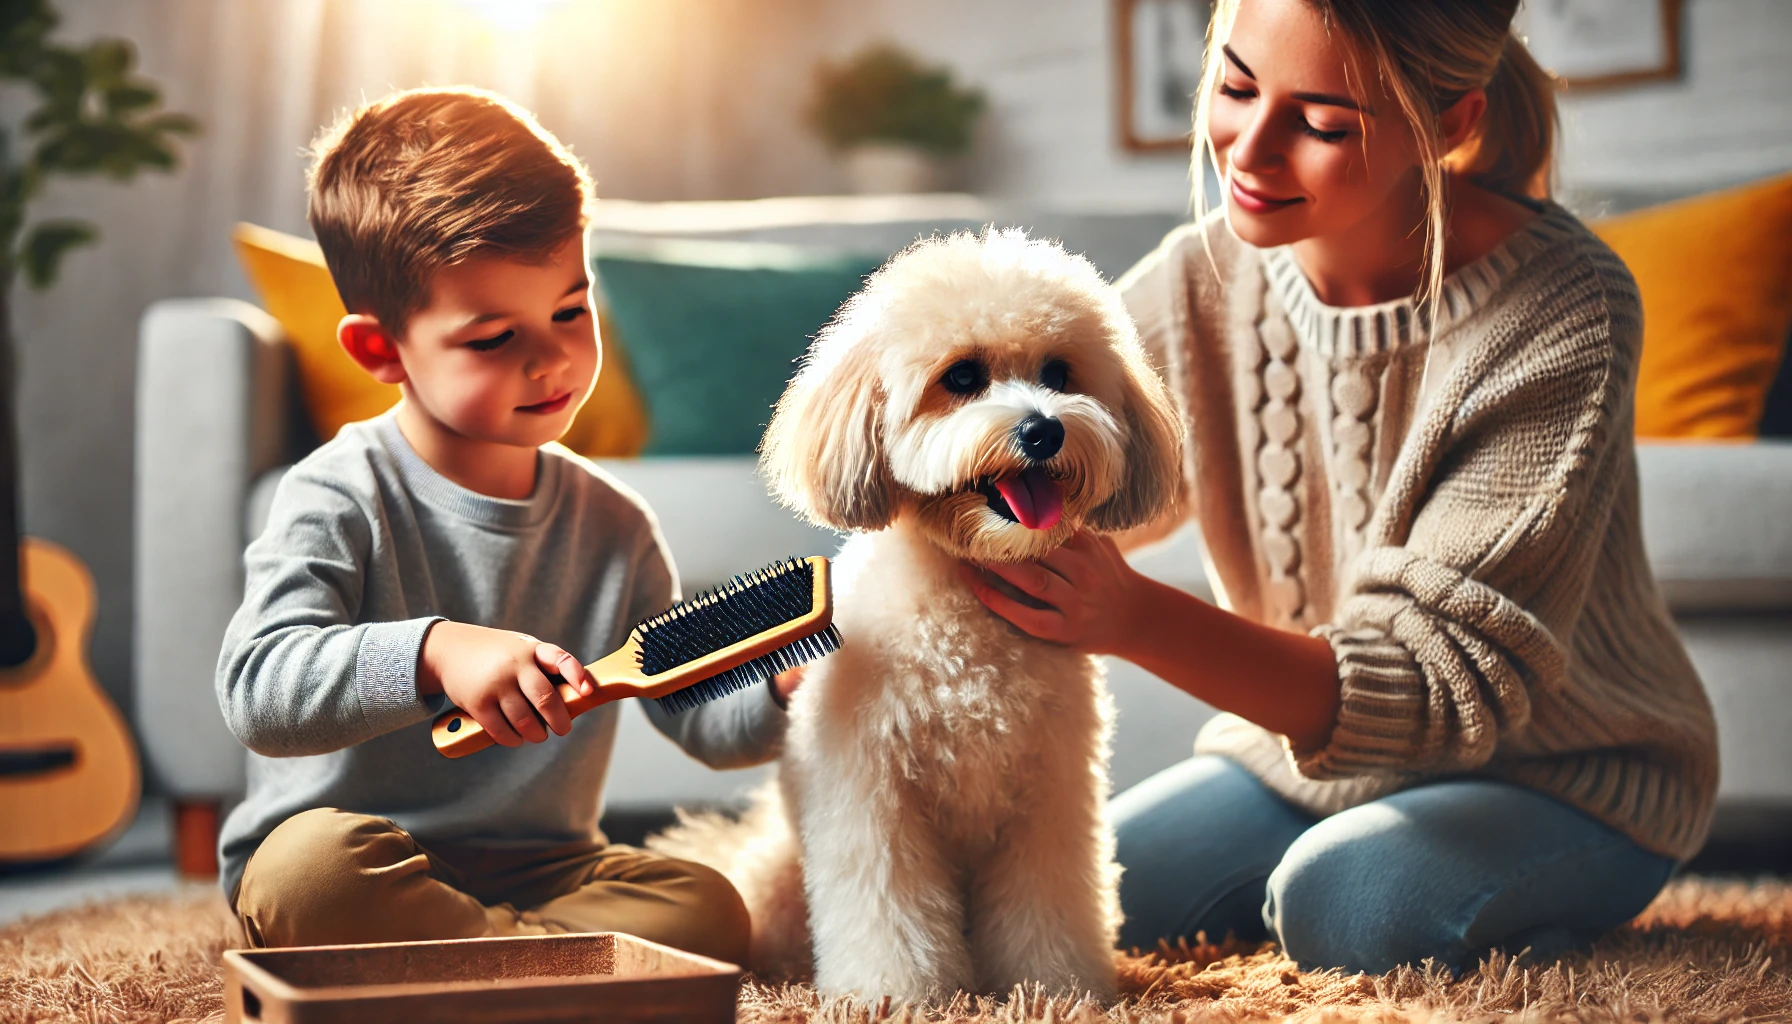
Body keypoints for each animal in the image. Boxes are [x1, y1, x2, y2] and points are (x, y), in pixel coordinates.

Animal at [652, 228, 1182, 1004]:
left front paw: (1055, 988)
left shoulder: (1049, 797)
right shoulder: (873, 797)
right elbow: (888, 907)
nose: (1044, 430)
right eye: (961, 377)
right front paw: (895, 996)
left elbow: (1049, 903)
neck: (964, 607)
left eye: (1060, 372)